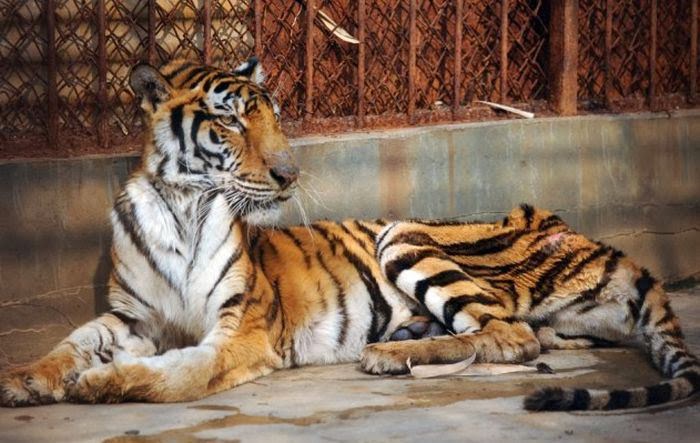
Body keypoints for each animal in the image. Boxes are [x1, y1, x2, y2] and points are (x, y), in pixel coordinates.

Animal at [0, 58, 697, 412]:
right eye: (229, 122)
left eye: (274, 116)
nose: (289, 173)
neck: (182, 204)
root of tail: (587, 235)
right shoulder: (131, 317)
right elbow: (70, 344)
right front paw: (25, 379)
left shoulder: (242, 328)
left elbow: (183, 372)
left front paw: (101, 384)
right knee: (524, 335)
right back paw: (401, 344)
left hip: (406, 235)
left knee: (510, 335)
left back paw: (388, 354)